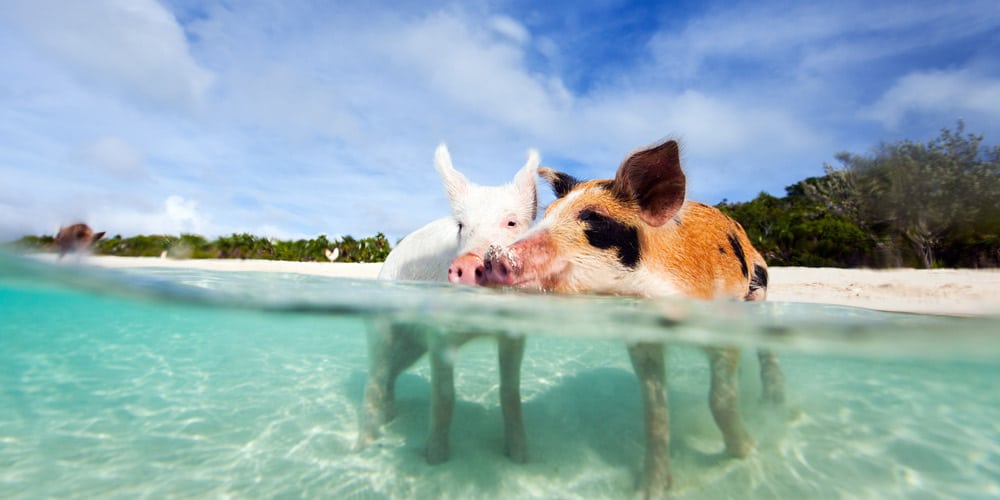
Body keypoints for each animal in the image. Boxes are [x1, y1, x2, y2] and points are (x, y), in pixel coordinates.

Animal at [480, 140, 784, 496]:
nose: (493, 257)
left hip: (759, 287)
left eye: (595, 219)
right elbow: (655, 412)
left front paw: (746, 453)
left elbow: (719, 399)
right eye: (547, 214)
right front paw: (651, 490)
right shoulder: (643, 340)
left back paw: (774, 403)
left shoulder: (720, 323)